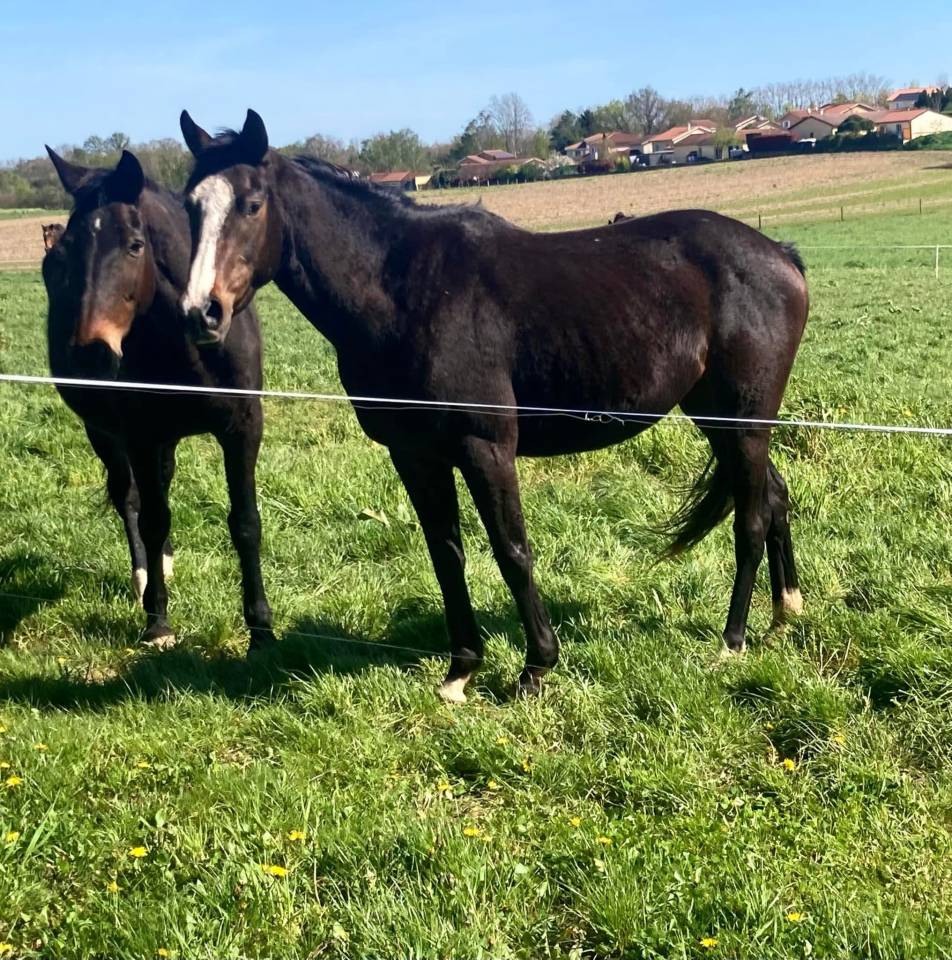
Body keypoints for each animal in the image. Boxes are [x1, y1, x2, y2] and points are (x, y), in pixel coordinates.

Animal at [43, 147, 275, 651]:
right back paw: (144, 576)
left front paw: (262, 629)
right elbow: (150, 519)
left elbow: (246, 523)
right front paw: (158, 622)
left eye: (134, 245)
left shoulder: (243, 429)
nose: (90, 354)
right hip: (105, 434)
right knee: (130, 498)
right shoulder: (140, 436)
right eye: (64, 255)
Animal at [178, 109, 809, 701]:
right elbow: (446, 555)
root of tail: (778, 254)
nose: (200, 314)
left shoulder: (485, 448)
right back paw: (785, 614)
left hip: (744, 420)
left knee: (752, 518)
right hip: (718, 418)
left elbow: (512, 551)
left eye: (252, 204)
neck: (404, 293)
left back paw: (732, 640)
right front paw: (461, 671)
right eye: (191, 207)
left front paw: (536, 668)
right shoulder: (415, 455)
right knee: (774, 497)